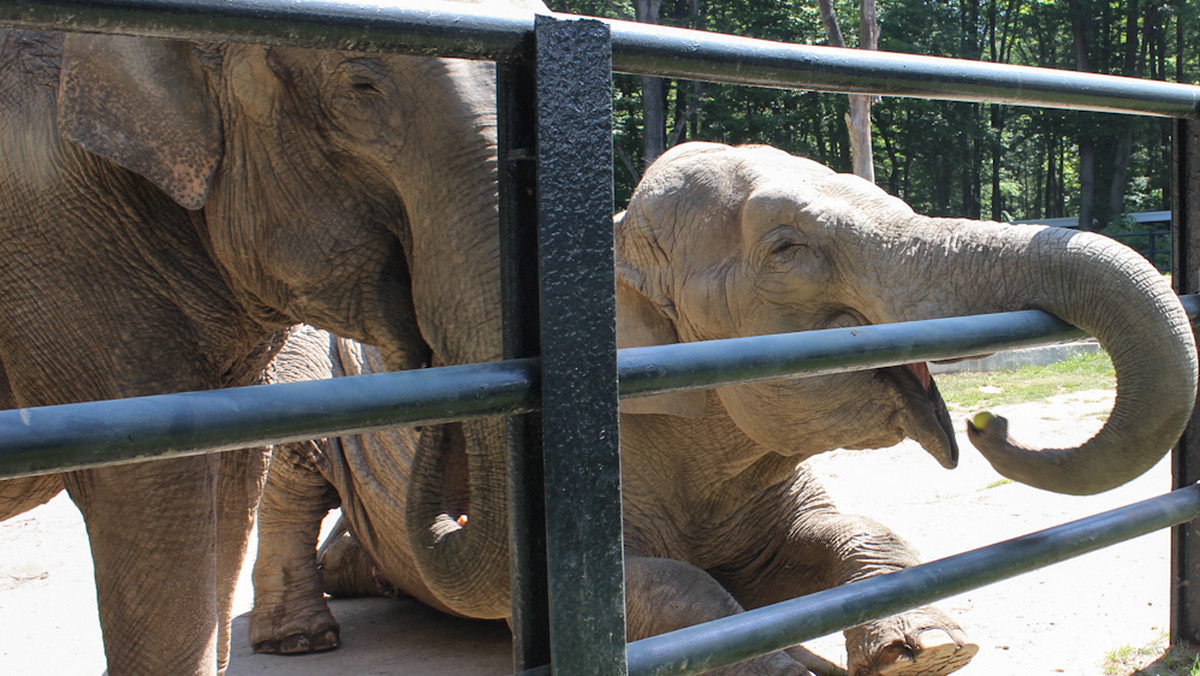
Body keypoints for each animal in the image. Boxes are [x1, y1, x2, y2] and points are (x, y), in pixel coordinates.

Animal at [0, 0, 549, 667]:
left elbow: (228, 472)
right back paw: (300, 640)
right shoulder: (57, 238)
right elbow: (152, 488)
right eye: (361, 89)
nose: (422, 360)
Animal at [253, 140, 1200, 672]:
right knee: (286, 479)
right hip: (303, 374)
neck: (613, 234)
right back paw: (300, 638)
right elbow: (647, 586)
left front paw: (930, 651)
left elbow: (843, 534)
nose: (987, 420)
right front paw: (783, 669)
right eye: (788, 248)